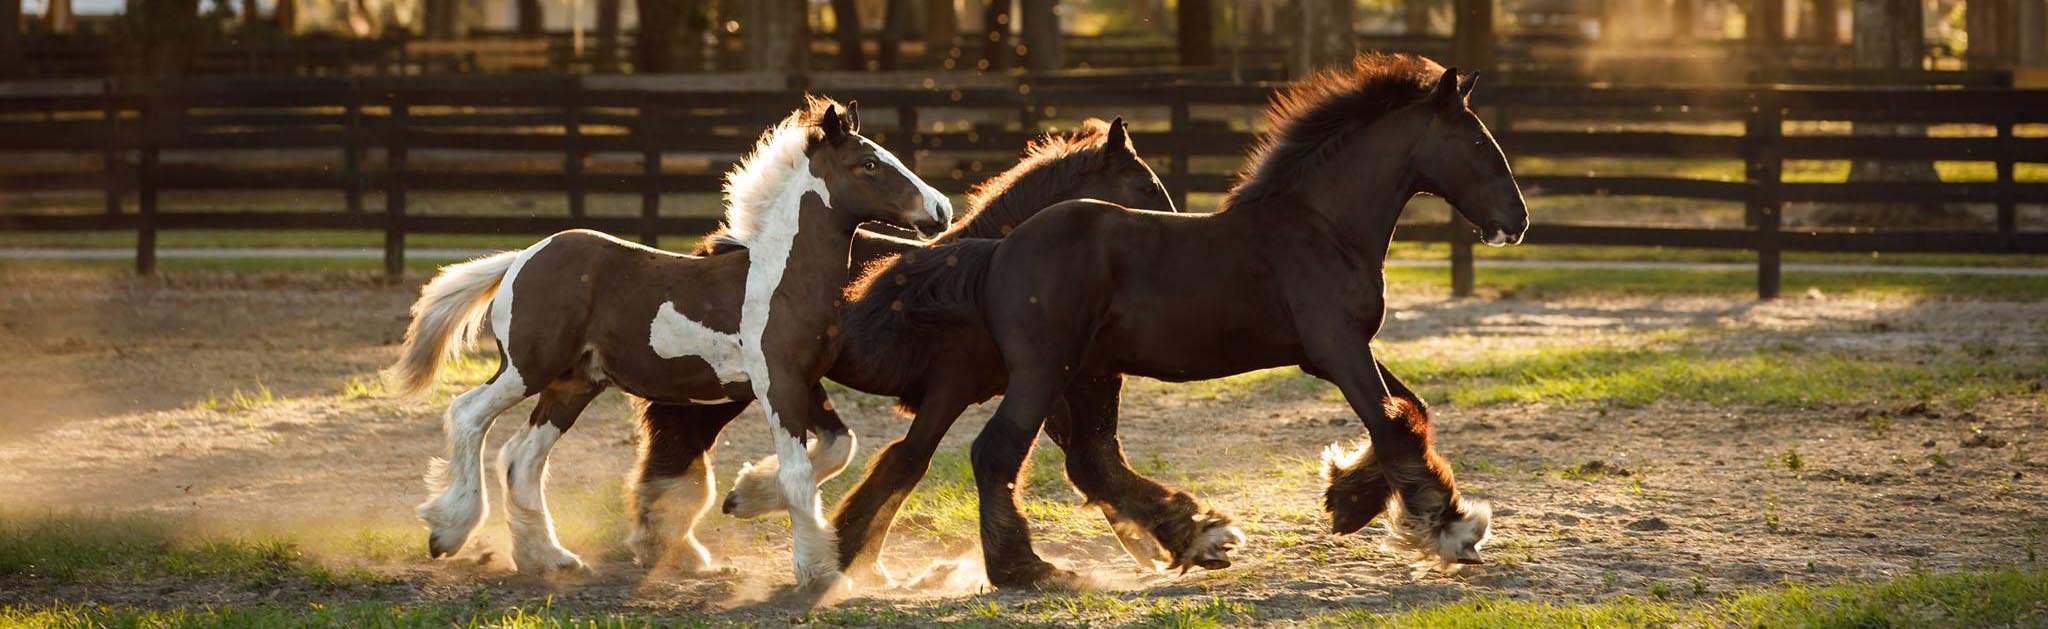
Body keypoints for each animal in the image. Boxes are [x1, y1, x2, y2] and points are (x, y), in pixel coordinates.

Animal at [385, 96, 951, 592]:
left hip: (574, 384)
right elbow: (799, 474)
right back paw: (448, 530)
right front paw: (819, 573)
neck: (781, 280)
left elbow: (838, 446)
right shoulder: (779, 382)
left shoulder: (804, 382)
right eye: (869, 163)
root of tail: (522, 257)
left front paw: (744, 497)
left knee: (522, 458)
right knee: (467, 414)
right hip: (527, 367)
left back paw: (549, 558)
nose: (941, 209)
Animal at [622, 118, 1181, 585]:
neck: (978, 278)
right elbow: (907, 462)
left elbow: (1092, 459)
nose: (1171, 243)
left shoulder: (1040, 381)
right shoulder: (953, 388)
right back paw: (670, 540)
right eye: (1146, 188)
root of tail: (721, 249)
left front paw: (1154, 543)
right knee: (680, 436)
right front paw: (851, 558)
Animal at [961, 54, 1530, 588]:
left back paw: (1192, 537)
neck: (1323, 227)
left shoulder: (1332, 353)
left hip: (1087, 375)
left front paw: (1348, 500)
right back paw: (1026, 569)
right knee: (999, 451)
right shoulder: (1339, 349)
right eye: (1478, 143)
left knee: (1089, 459)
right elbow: (1391, 423)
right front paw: (1449, 528)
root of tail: (998, 251)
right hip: (1044, 371)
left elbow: (1411, 410)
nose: (1518, 220)